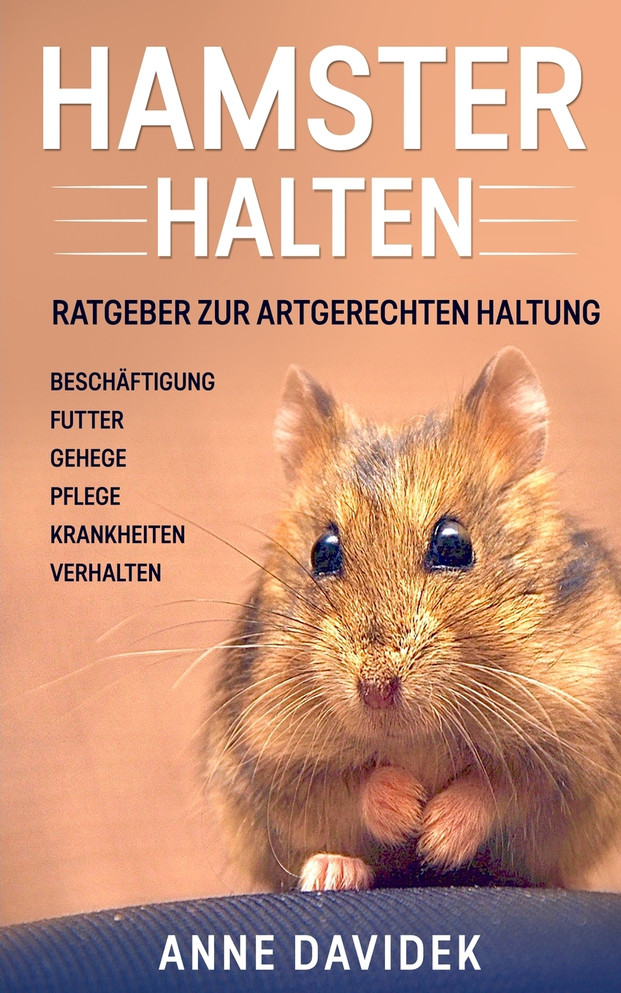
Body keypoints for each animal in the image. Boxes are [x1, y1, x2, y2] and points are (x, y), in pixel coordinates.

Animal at [205, 348, 621, 892]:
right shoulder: (270, 757)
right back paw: (332, 872)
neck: (415, 738)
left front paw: (435, 835)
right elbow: (351, 784)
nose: (376, 691)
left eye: (453, 544)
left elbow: (501, 786)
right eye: (323, 550)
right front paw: (409, 811)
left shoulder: (577, 749)